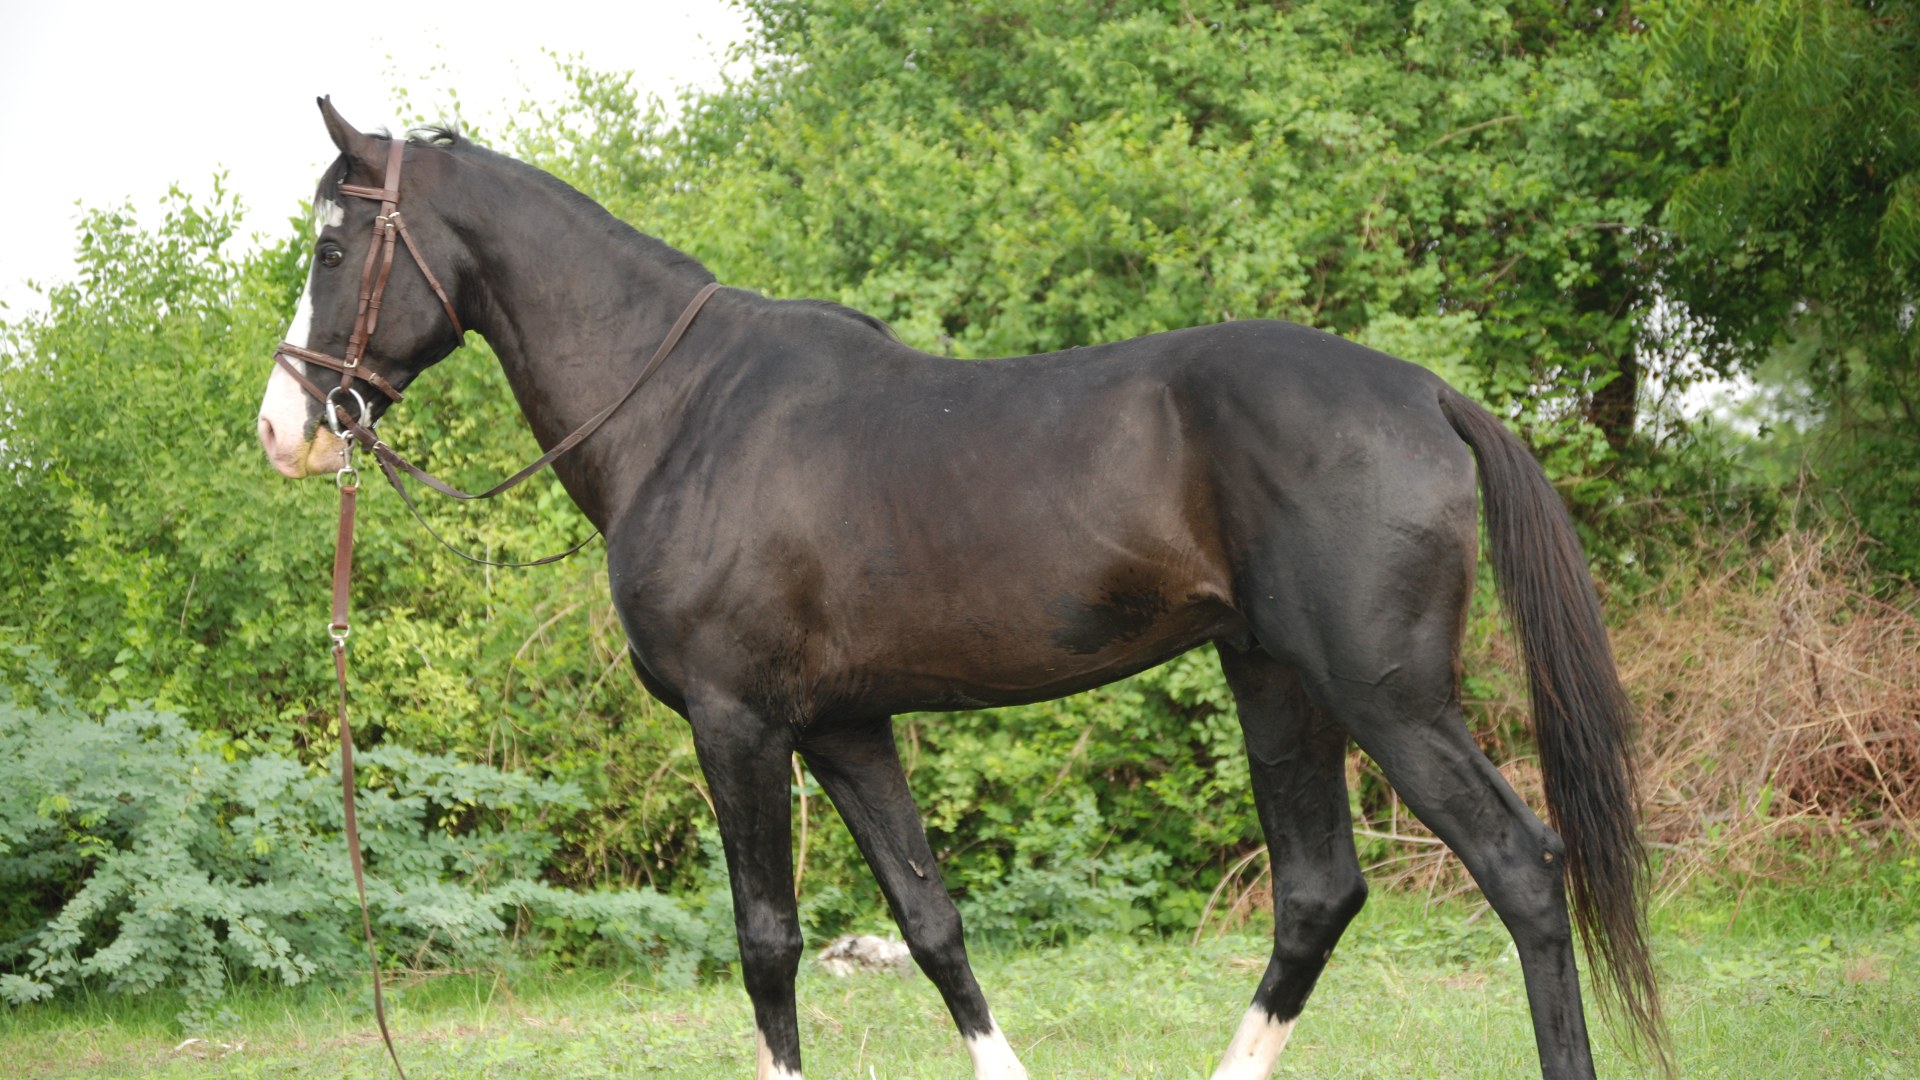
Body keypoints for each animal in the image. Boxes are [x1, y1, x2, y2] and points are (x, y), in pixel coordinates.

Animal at [258, 98, 1662, 1080]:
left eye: (334, 240)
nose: (287, 428)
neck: (682, 409)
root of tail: (1424, 392)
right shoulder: (845, 728)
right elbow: (933, 927)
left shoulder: (738, 726)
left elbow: (768, 943)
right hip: (1278, 683)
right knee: (1318, 893)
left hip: (1387, 699)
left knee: (1521, 870)